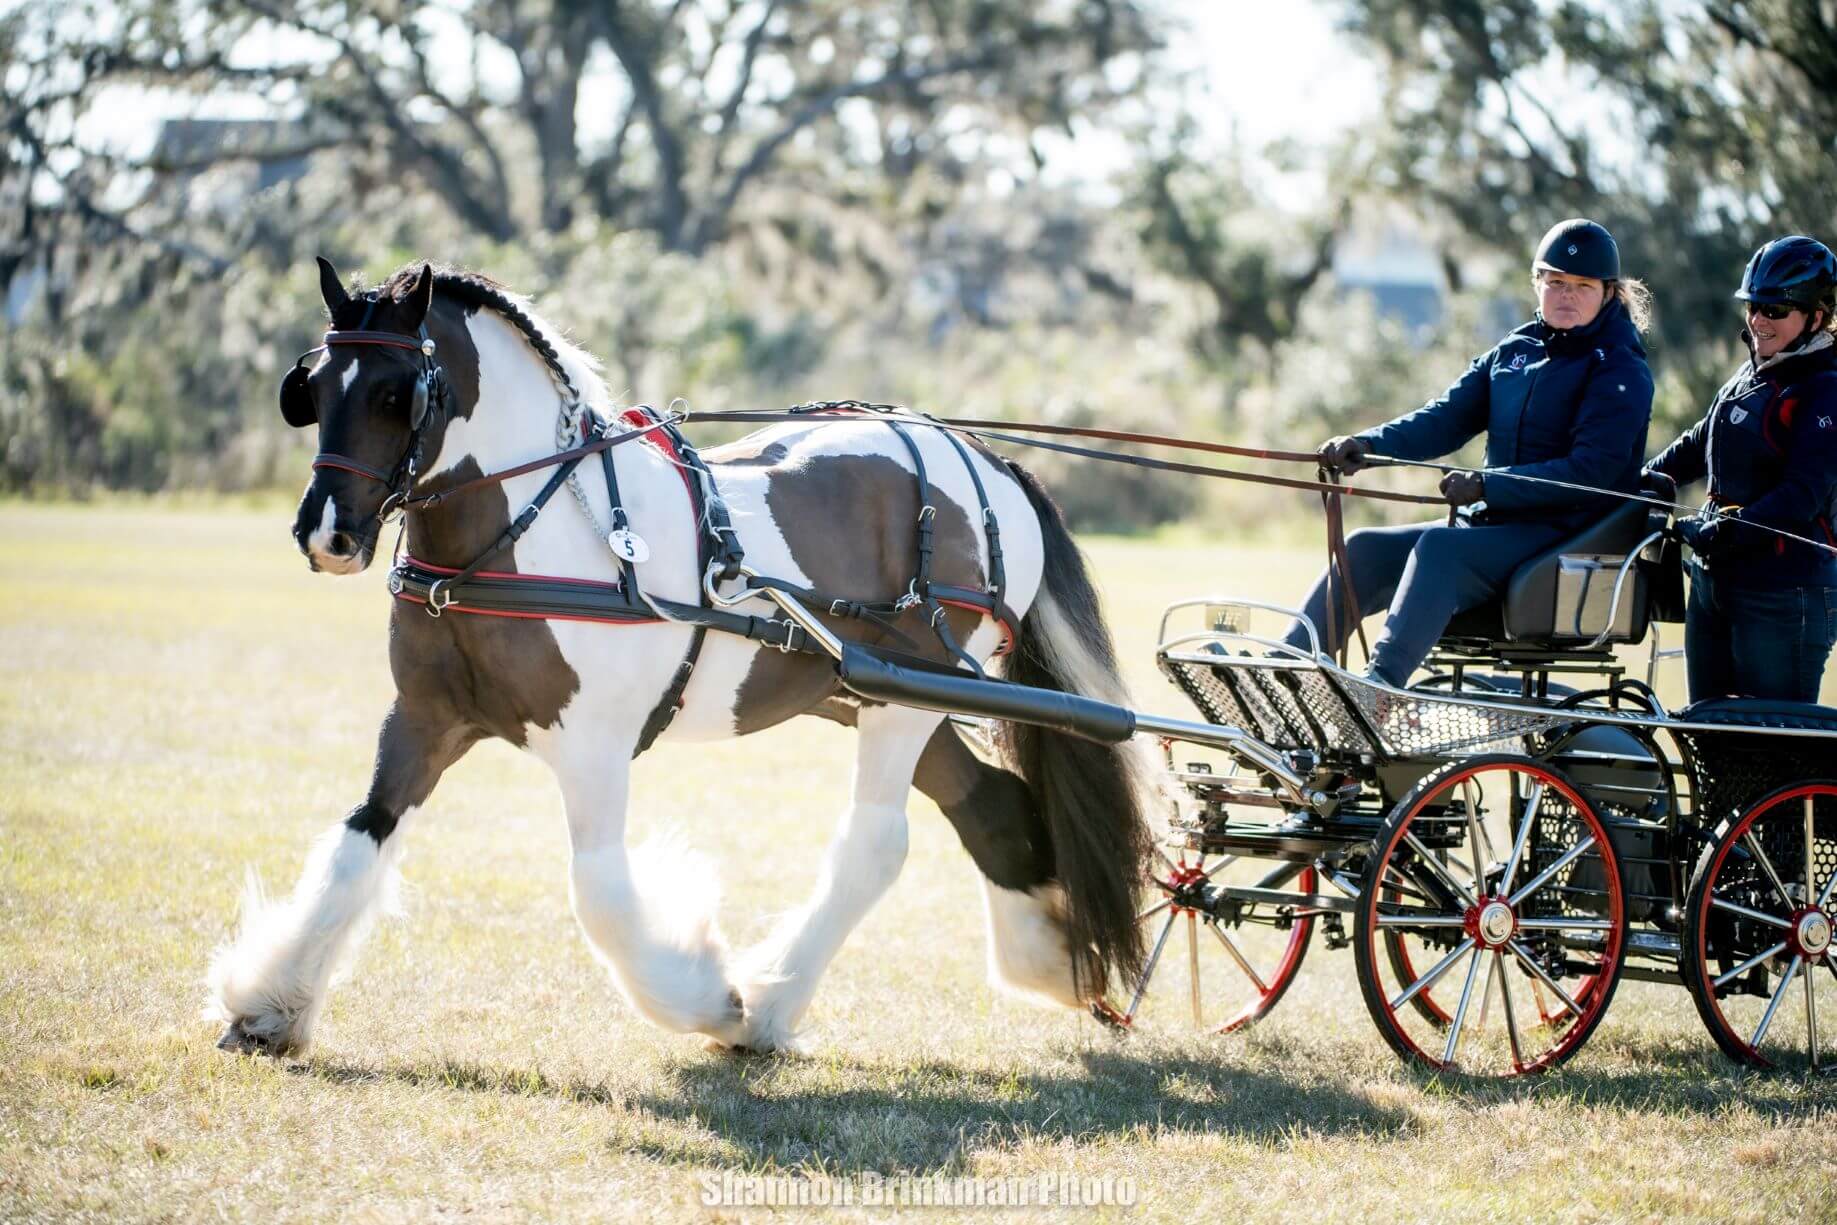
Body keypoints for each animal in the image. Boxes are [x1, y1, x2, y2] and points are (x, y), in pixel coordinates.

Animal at [207, 258, 1154, 1056]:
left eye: (397, 393)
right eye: (312, 387)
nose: (326, 533)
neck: (529, 533)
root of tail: (985, 460)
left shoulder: (591, 743)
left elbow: (599, 892)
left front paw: (708, 996)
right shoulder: (422, 720)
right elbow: (355, 844)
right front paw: (270, 1004)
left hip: (902, 704)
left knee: (875, 841)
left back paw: (766, 1005)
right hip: (863, 692)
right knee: (988, 804)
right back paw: (1049, 960)